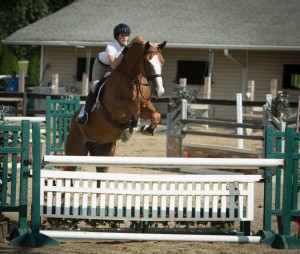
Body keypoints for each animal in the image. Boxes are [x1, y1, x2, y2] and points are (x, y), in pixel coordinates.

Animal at [64, 35, 166, 172]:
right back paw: (83, 117)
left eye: (162, 61)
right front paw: (130, 130)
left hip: (103, 152)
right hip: (75, 152)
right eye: (148, 62)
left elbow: (155, 115)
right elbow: (134, 107)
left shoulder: (145, 106)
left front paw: (147, 129)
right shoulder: (116, 109)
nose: (160, 91)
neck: (132, 78)